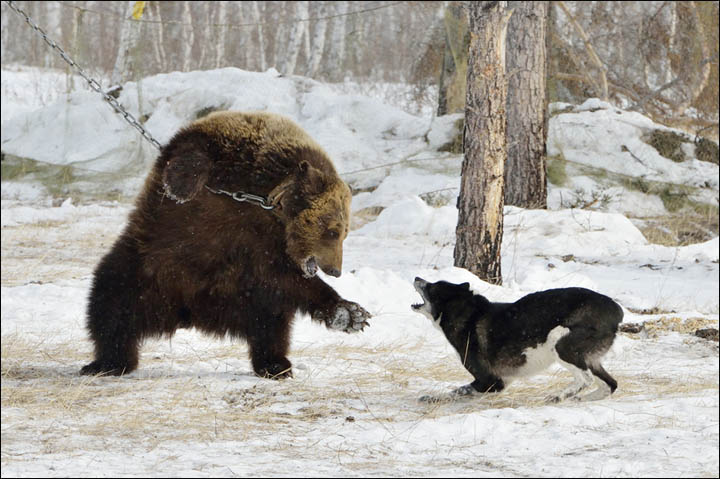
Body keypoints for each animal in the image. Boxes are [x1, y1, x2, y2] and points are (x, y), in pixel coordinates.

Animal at [81, 111, 368, 378]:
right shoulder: (221, 152)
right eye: (333, 231)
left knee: (273, 323)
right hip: (147, 265)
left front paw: (349, 313)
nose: (335, 270)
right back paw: (107, 363)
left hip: (247, 296)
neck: (267, 199)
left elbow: (289, 279)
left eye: (344, 233)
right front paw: (180, 187)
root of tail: (190, 314)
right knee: (111, 300)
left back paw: (275, 363)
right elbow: (192, 156)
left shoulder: (262, 248)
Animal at [414, 278, 620, 404]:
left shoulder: (490, 381)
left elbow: (456, 391)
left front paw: (432, 398)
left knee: (586, 379)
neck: (467, 313)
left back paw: (558, 396)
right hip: (589, 359)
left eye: (432, 287)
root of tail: (617, 311)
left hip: (559, 343)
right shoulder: (502, 381)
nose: (417, 278)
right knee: (610, 384)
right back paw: (579, 399)